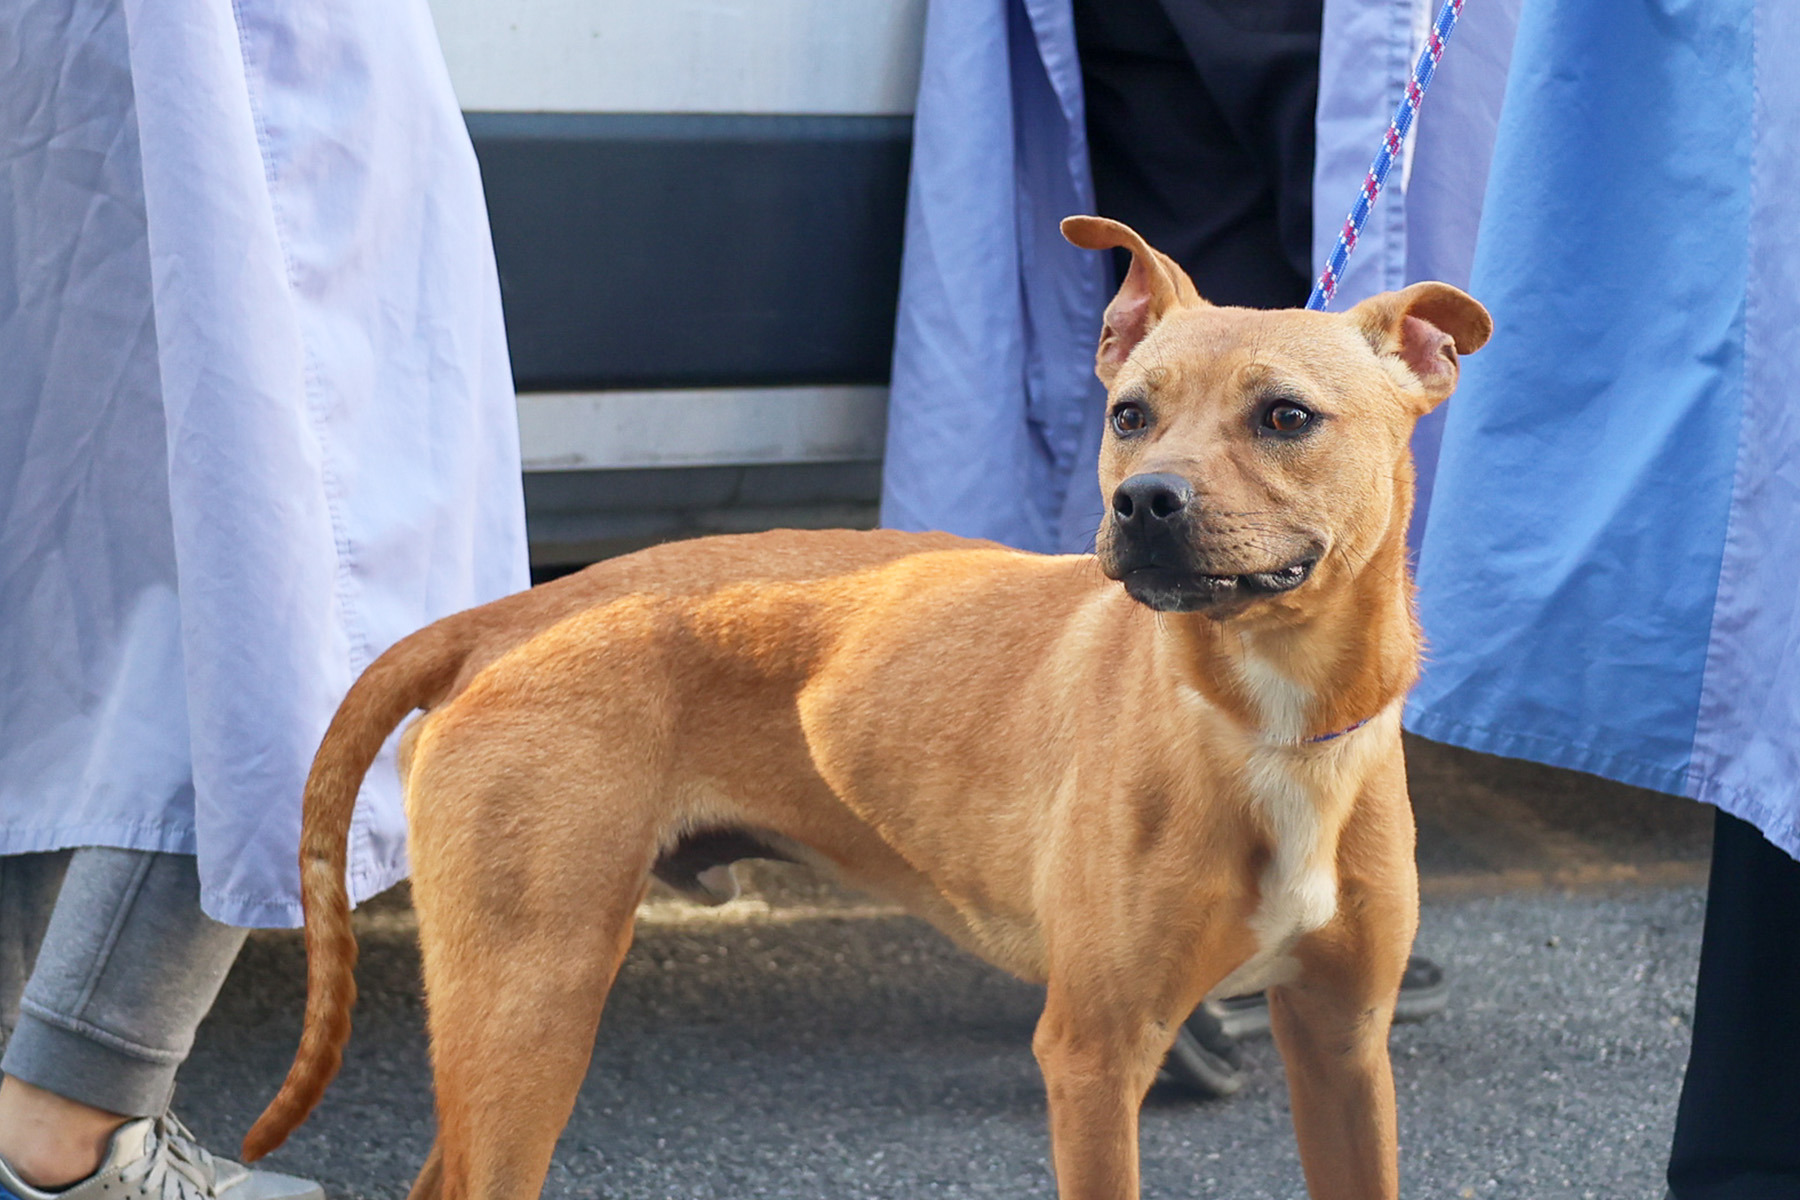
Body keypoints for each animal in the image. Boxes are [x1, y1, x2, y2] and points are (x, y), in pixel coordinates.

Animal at [242, 216, 1490, 1200]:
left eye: (1286, 417)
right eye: (1130, 415)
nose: (1144, 502)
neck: (1268, 722)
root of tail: (507, 617)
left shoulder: (1343, 1048)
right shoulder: (1093, 1059)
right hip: (529, 1009)